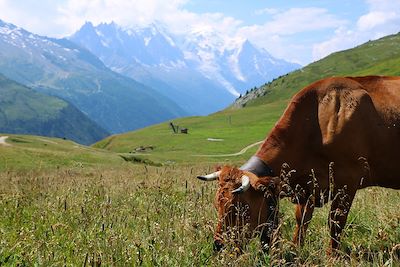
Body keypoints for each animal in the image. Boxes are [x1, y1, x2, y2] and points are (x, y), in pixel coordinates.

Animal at [198, 76, 400, 254]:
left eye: (240, 208)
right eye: (216, 205)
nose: (218, 246)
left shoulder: (348, 182)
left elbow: (335, 223)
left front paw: (332, 256)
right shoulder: (307, 189)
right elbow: (301, 221)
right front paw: (295, 250)